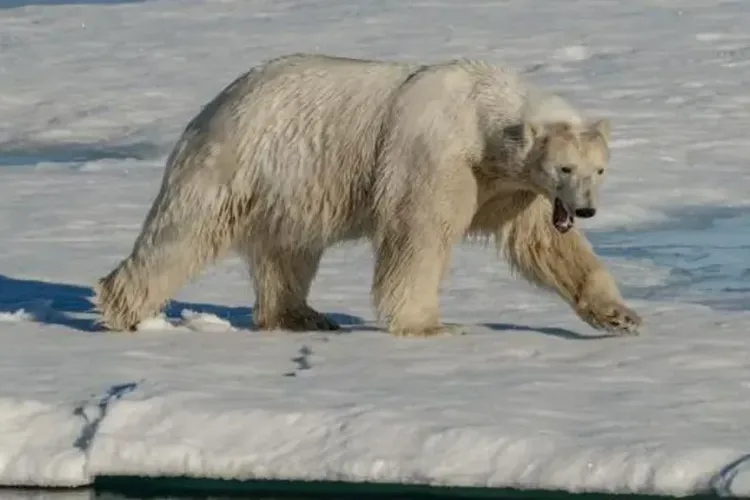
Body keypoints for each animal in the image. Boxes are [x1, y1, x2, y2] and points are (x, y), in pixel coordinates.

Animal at [92, 51, 648, 336]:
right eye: (564, 166)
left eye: (599, 169)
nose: (585, 209)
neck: (483, 117)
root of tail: (215, 103)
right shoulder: (435, 156)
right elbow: (418, 235)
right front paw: (430, 325)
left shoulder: (513, 188)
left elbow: (547, 246)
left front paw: (620, 315)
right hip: (239, 161)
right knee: (181, 235)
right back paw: (121, 309)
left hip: (292, 186)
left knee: (289, 250)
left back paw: (302, 315)